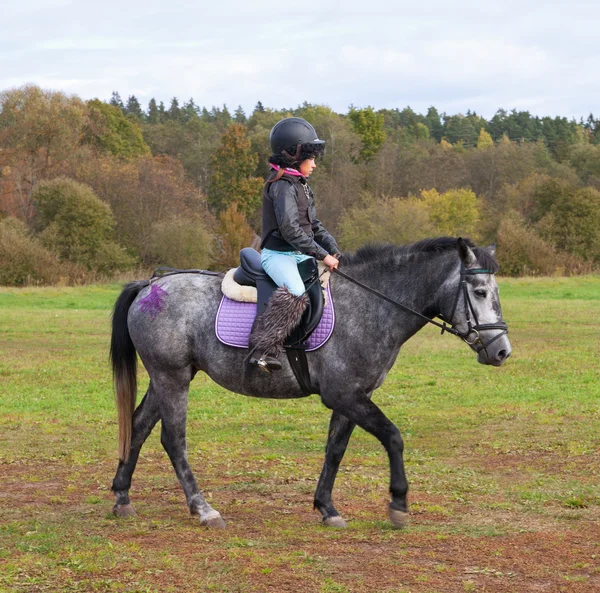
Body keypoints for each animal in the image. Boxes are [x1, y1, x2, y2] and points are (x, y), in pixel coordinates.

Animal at [109, 236, 510, 528]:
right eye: (479, 292)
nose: (502, 351)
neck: (370, 305)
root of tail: (150, 284)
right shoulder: (345, 395)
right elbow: (393, 437)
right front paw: (398, 502)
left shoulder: (353, 396)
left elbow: (335, 450)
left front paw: (327, 507)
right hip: (172, 378)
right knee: (173, 440)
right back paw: (203, 509)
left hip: (167, 378)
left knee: (139, 426)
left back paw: (123, 497)